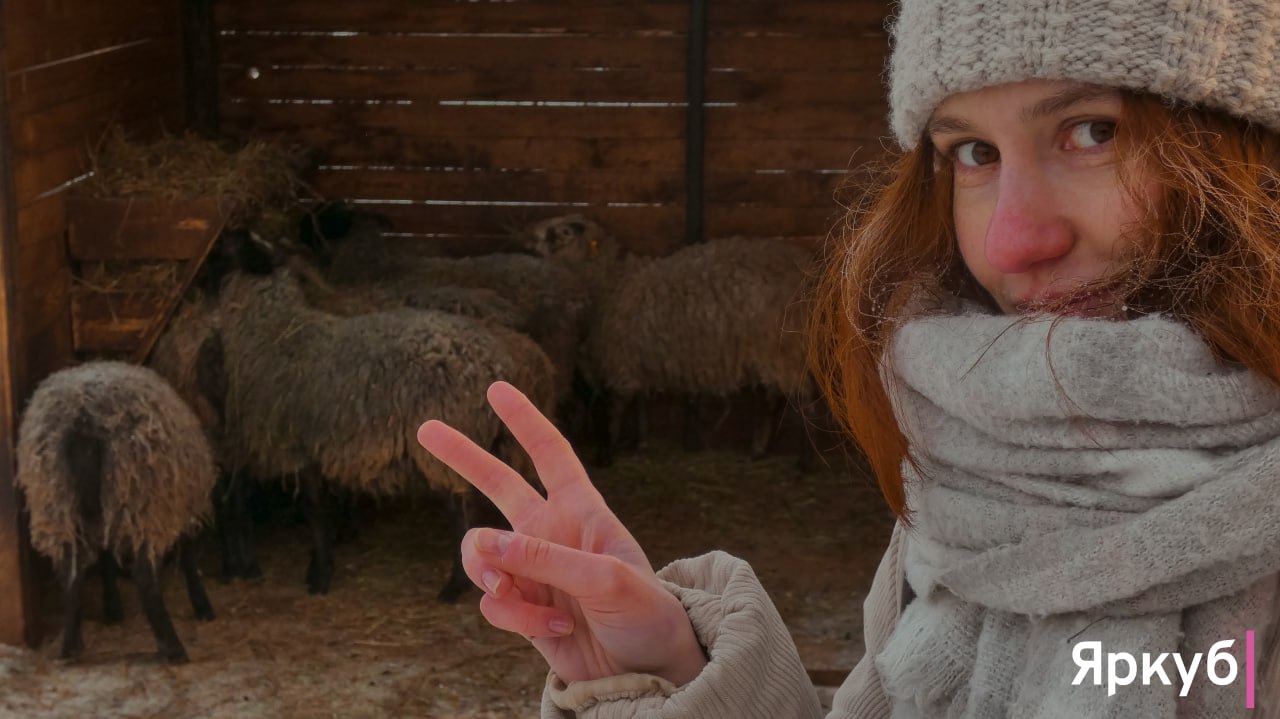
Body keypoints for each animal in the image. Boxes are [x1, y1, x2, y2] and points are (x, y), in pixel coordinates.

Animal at [15, 361, 217, 663]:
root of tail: (82, 421)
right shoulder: (176, 508)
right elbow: (189, 556)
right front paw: (202, 605)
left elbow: (106, 557)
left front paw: (112, 608)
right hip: (139, 500)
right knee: (144, 576)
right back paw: (172, 648)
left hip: (58, 503)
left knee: (69, 571)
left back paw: (71, 647)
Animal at [215, 262, 555, 600]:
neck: (279, 332)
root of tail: (498, 364)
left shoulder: (301, 446)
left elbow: (314, 509)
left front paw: (320, 574)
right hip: (499, 440)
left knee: (461, 506)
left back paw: (455, 585)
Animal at [524, 214, 821, 469]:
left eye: (562, 233)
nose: (527, 241)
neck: (613, 282)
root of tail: (805, 269)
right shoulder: (636, 356)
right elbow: (639, 401)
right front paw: (640, 442)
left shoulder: (620, 358)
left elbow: (618, 405)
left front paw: (611, 445)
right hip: (771, 350)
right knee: (771, 399)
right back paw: (757, 450)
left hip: (781, 348)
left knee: (805, 399)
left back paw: (804, 461)